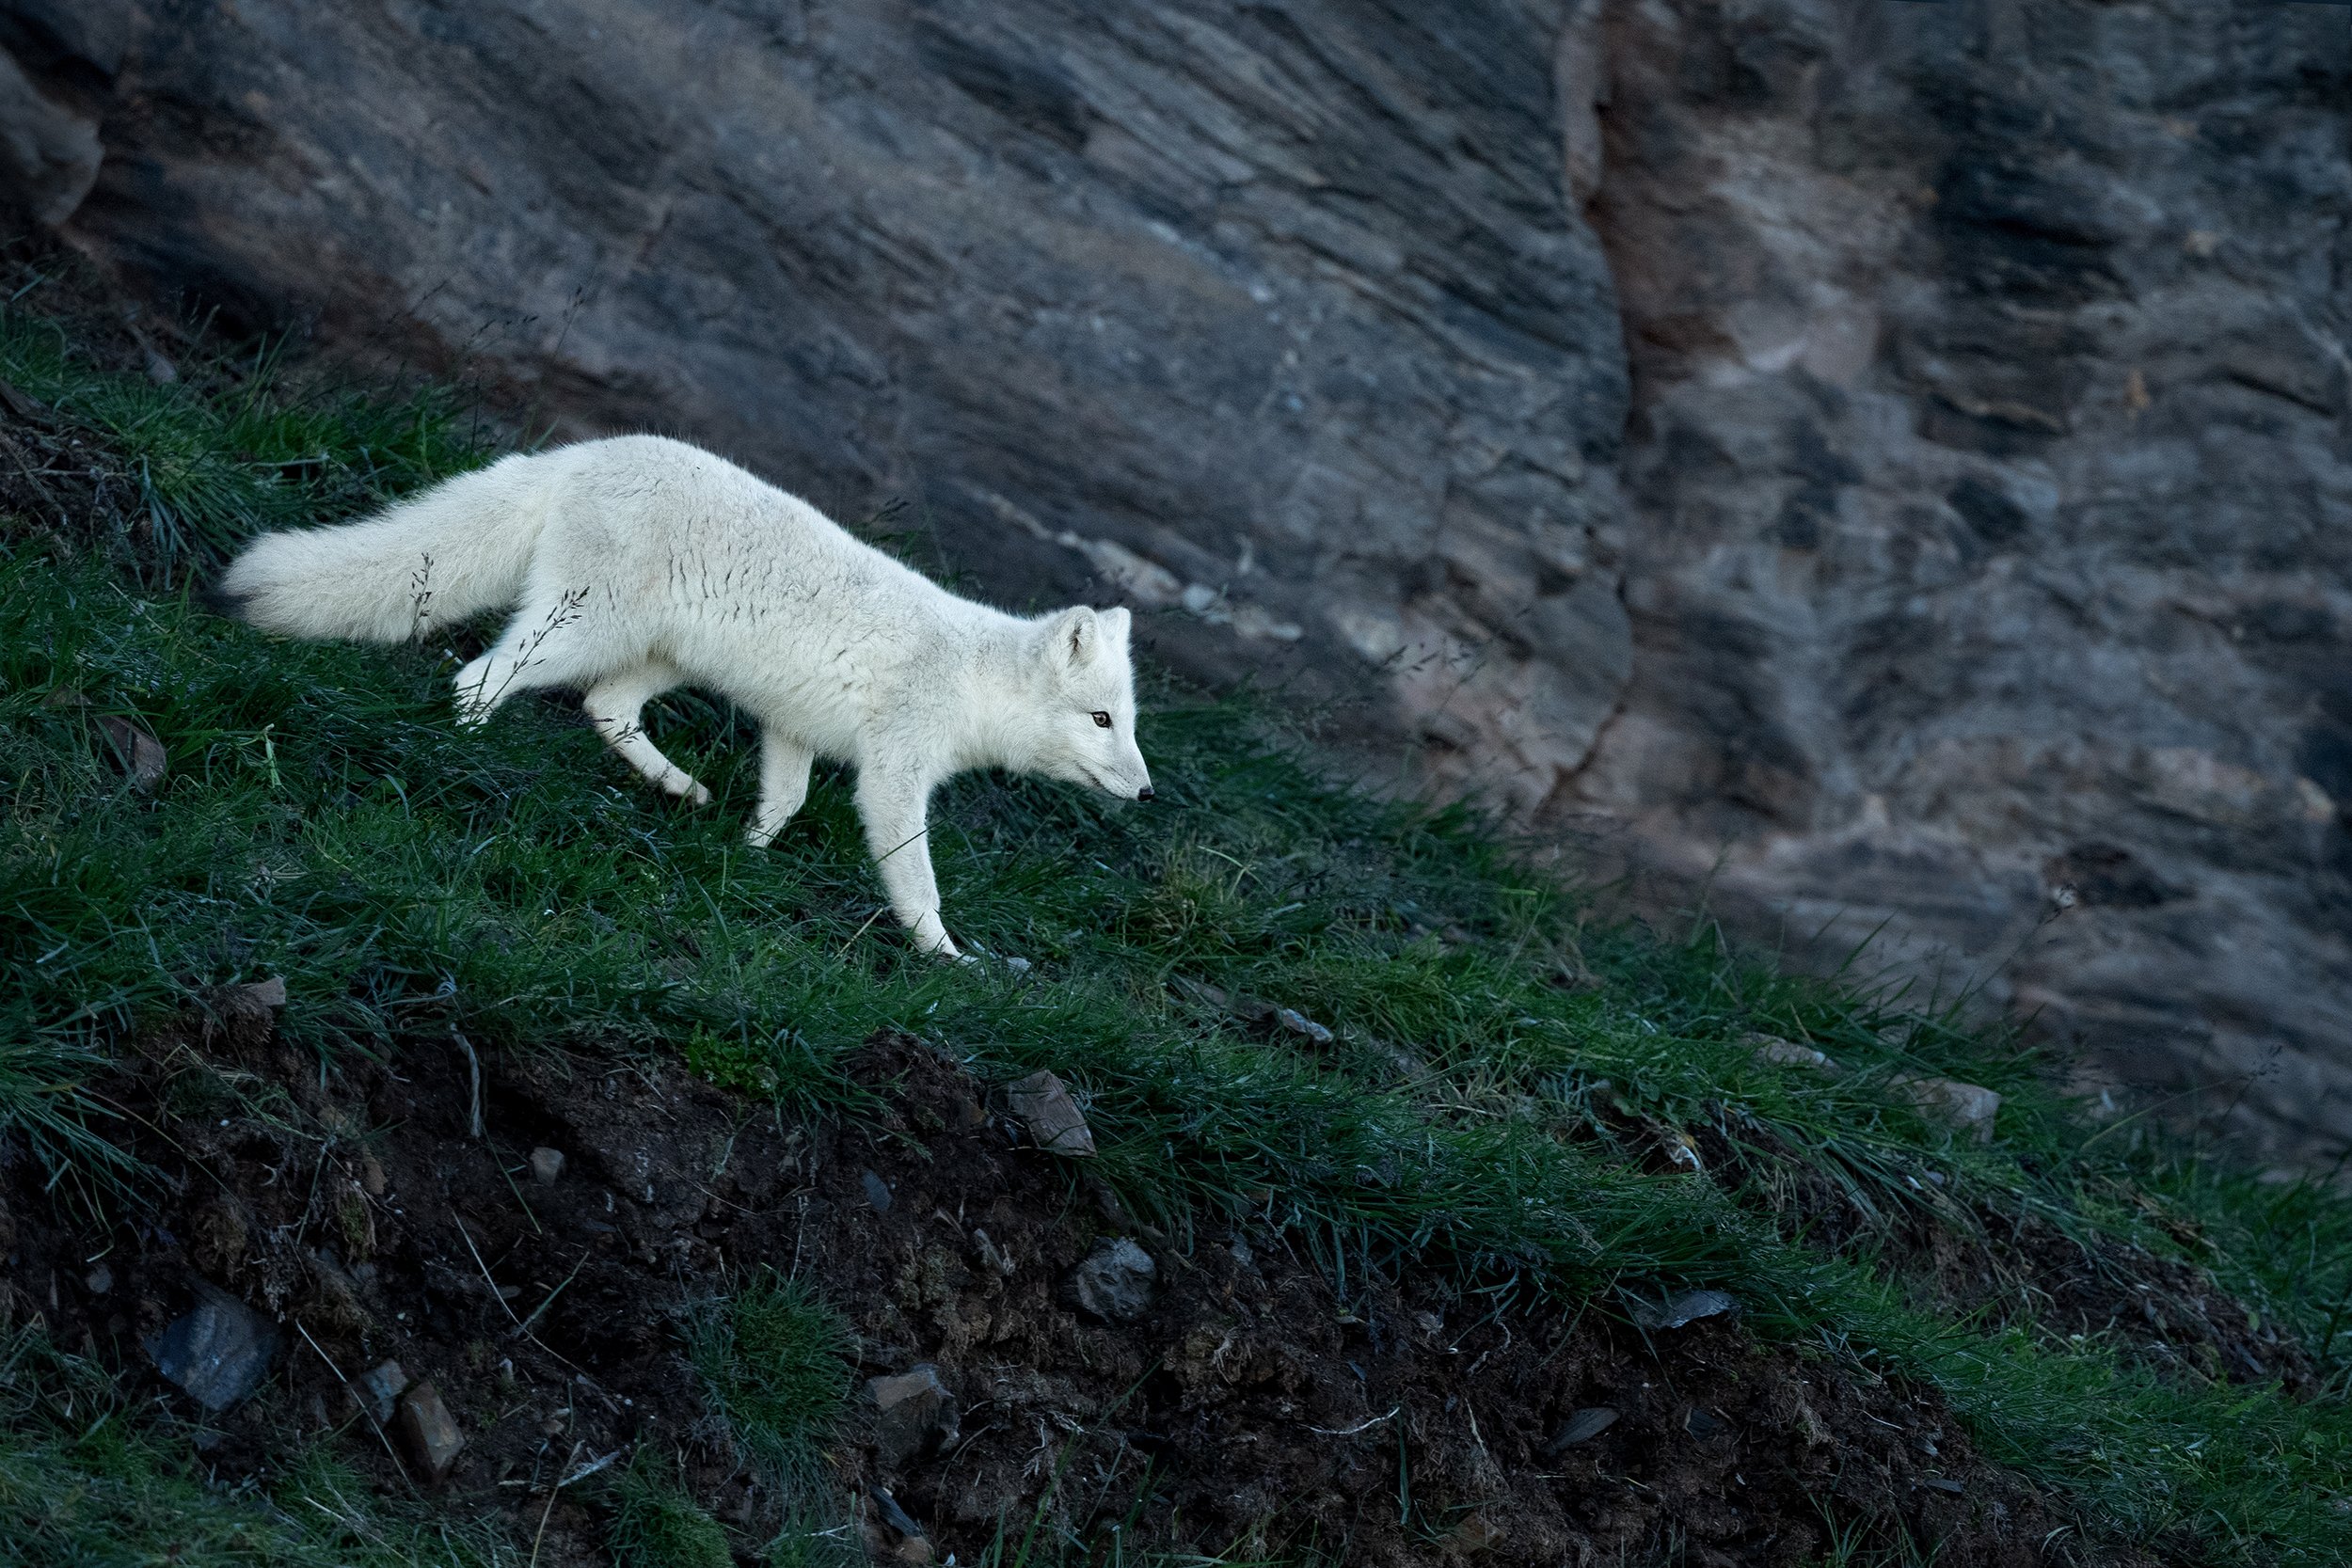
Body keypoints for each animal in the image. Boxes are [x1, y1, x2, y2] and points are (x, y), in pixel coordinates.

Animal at [212, 434, 1153, 959]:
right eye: (1101, 718)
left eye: (1129, 722)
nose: (1146, 792)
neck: (969, 674)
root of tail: (585, 453)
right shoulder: (893, 773)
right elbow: (915, 879)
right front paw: (947, 958)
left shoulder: (791, 728)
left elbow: (786, 800)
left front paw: (752, 854)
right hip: (586, 627)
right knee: (481, 676)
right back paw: (466, 745)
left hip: (658, 654)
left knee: (606, 707)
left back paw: (679, 787)